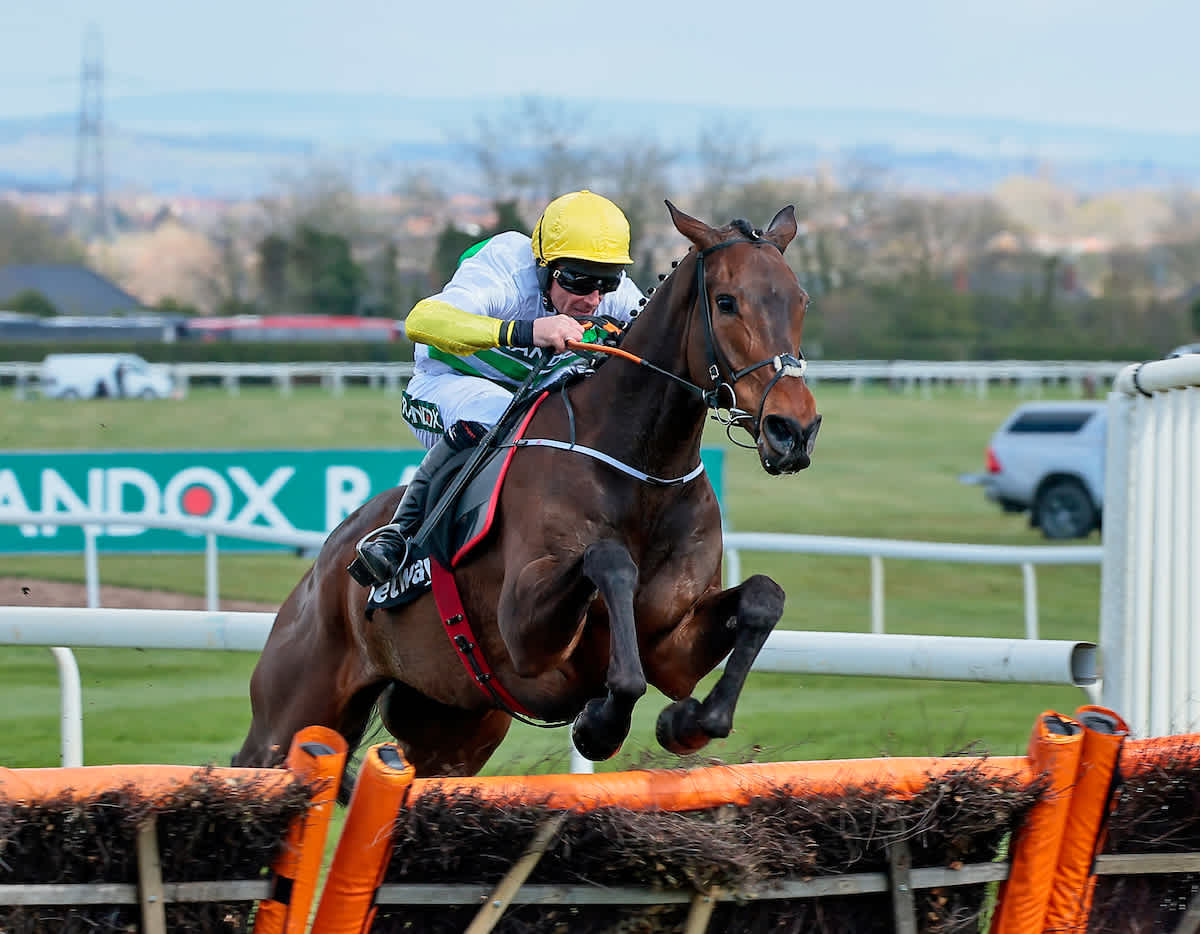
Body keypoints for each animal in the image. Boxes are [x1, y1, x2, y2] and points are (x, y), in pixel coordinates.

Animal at [233, 201, 822, 786]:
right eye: (726, 302)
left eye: (800, 301)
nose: (793, 430)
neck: (642, 472)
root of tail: (328, 559)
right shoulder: (524, 631)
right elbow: (608, 563)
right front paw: (600, 723)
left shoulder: (670, 646)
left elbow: (763, 597)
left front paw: (689, 721)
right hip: (291, 712)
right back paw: (386, 551)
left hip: (451, 728)